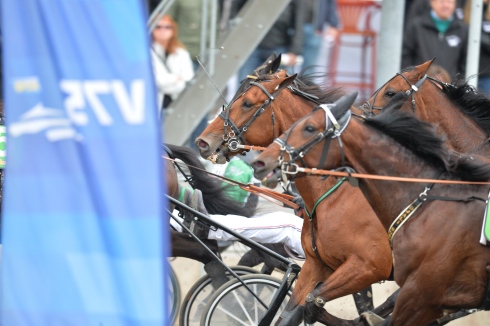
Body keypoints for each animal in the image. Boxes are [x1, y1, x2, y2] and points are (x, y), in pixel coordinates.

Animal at [253, 93, 490, 324]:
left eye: (309, 128)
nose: (259, 162)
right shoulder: (317, 264)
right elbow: (295, 308)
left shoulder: (377, 270)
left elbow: (315, 301)